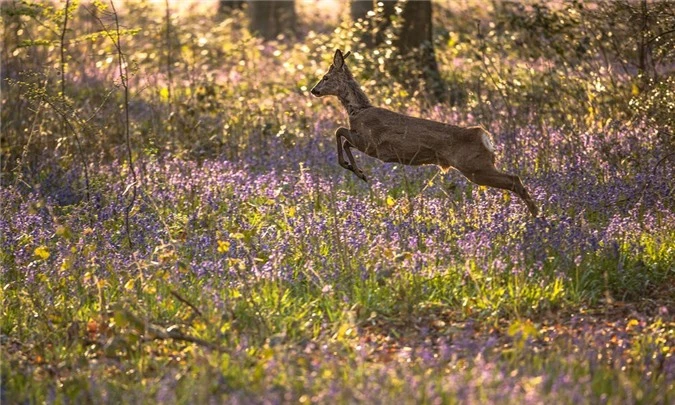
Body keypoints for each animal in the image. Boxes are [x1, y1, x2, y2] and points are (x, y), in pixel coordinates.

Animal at [312, 49, 540, 216]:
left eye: (325, 77)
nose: (314, 90)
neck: (358, 110)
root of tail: (484, 137)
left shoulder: (371, 143)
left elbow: (339, 131)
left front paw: (355, 170)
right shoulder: (367, 143)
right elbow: (343, 137)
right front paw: (357, 170)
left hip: (475, 167)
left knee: (514, 179)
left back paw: (536, 216)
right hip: (478, 166)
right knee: (514, 179)